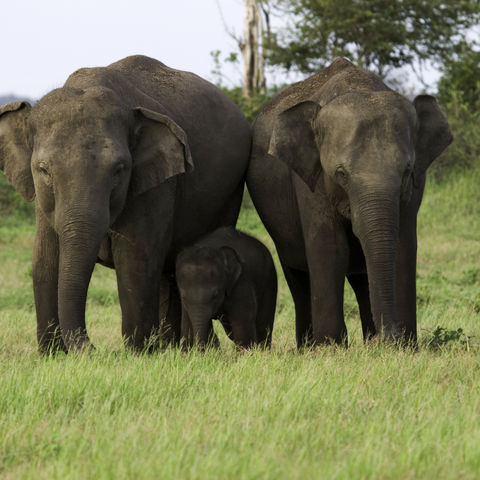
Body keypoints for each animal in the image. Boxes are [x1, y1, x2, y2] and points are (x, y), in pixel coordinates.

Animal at [0, 55, 253, 352]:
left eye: (119, 169)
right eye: (43, 169)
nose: (93, 349)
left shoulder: (155, 185)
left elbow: (135, 262)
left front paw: (137, 353)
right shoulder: (43, 200)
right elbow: (44, 260)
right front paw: (52, 354)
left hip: (230, 194)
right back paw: (172, 347)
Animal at [248, 58, 454, 346]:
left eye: (406, 171)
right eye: (341, 173)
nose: (389, 337)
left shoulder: (417, 182)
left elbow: (402, 244)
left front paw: (404, 347)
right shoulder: (311, 179)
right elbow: (331, 248)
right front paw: (331, 348)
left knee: (362, 275)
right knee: (298, 273)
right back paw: (309, 347)